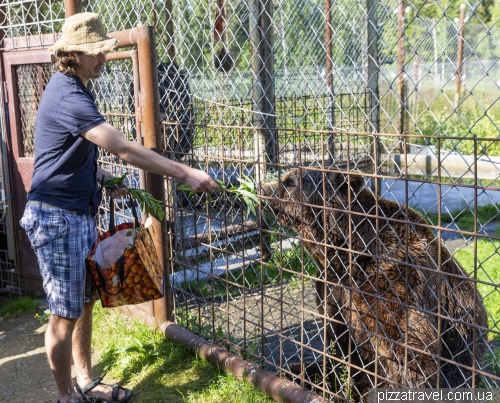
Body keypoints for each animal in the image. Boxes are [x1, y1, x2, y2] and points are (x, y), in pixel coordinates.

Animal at [260, 168, 486, 398]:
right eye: (285, 177)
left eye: (289, 181)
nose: (262, 188)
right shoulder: (331, 287)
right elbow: (339, 343)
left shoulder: (392, 278)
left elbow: (410, 352)